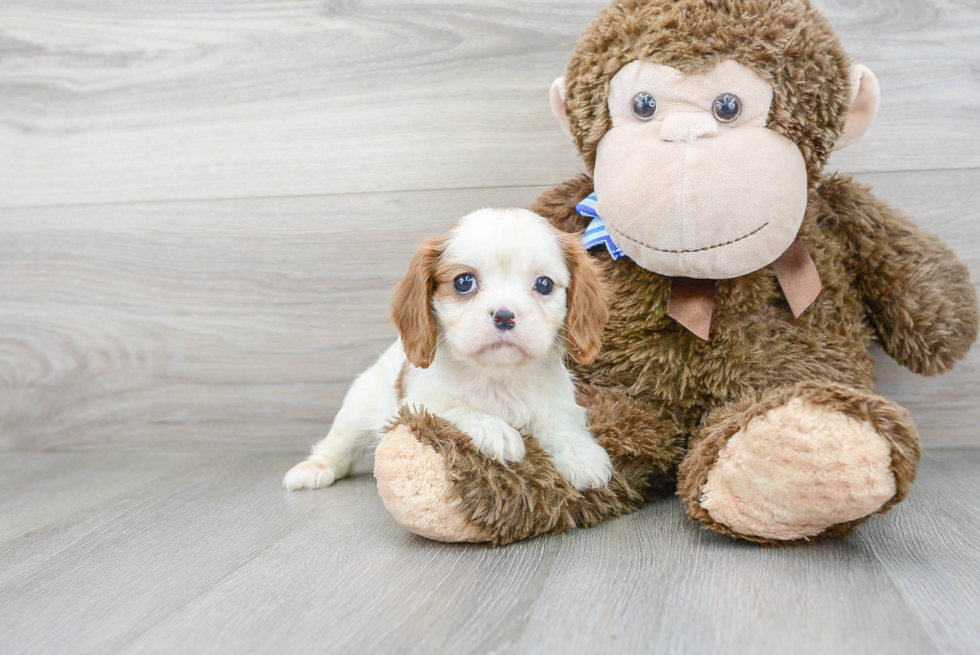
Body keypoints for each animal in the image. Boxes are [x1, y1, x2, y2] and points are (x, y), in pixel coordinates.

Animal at [284, 210, 612, 492]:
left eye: (544, 284)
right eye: (464, 282)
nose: (504, 316)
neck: (499, 376)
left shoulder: (560, 403)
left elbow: (560, 422)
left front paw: (581, 455)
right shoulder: (415, 406)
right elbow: (454, 409)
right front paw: (496, 431)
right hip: (358, 408)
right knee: (337, 445)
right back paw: (314, 469)